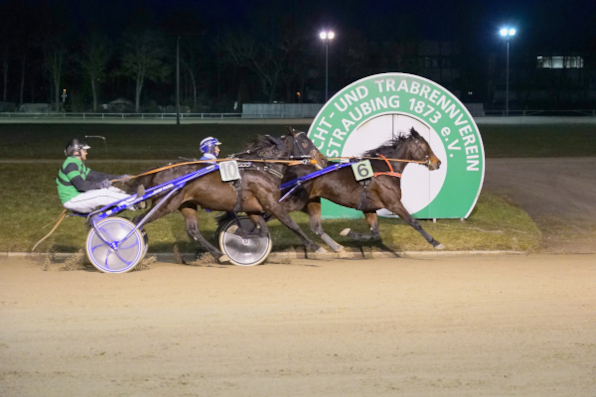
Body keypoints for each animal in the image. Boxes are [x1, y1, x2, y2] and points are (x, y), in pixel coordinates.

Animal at [126, 128, 328, 262]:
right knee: (137, 221)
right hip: (165, 205)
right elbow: (293, 225)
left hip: (186, 205)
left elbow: (260, 229)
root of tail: (158, 172)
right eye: (304, 142)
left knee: (193, 231)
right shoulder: (271, 203)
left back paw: (219, 254)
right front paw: (317, 248)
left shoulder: (253, 208)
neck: (262, 167)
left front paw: (239, 237)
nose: (323, 159)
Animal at [274, 127, 442, 251]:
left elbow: (375, 234)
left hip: (311, 200)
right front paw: (435, 243)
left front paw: (348, 233)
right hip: (293, 200)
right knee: (279, 213)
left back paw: (335, 248)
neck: (384, 169)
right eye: (425, 146)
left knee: (314, 226)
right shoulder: (393, 203)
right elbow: (414, 222)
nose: (438, 162)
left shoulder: (370, 208)